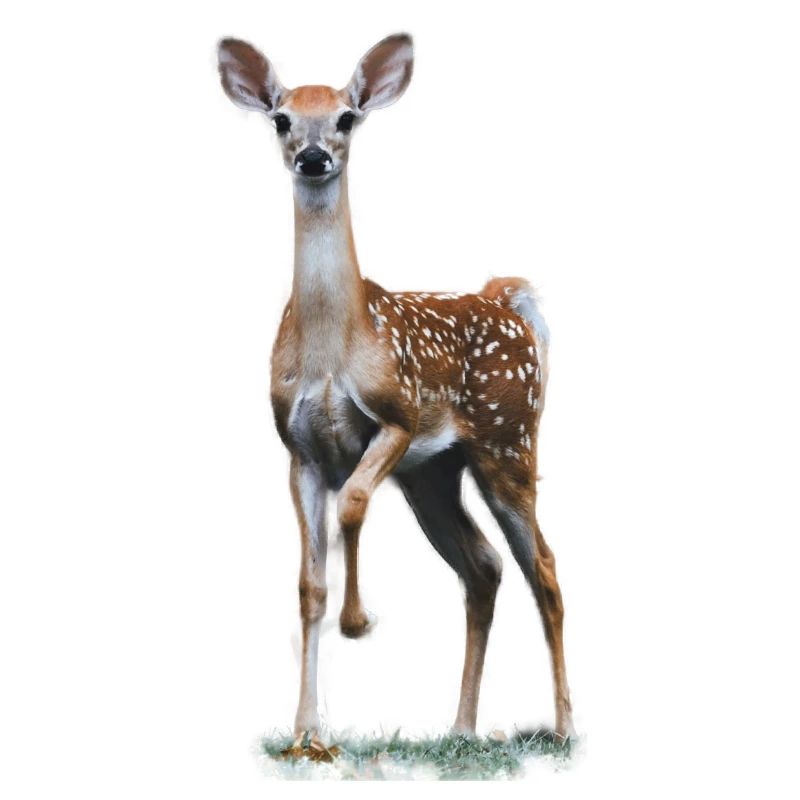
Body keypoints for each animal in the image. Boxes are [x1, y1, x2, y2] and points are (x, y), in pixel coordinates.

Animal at [217, 33, 574, 749]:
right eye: (282, 119)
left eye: (347, 117)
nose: (315, 156)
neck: (333, 349)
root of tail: (508, 301)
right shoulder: (298, 451)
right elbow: (309, 586)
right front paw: (306, 733)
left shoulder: (398, 418)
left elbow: (354, 502)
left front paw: (359, 621)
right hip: (434, 474)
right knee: (484, 567)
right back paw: (460, 728)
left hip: (508, 442)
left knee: (544, 569)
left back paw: (564, 726)